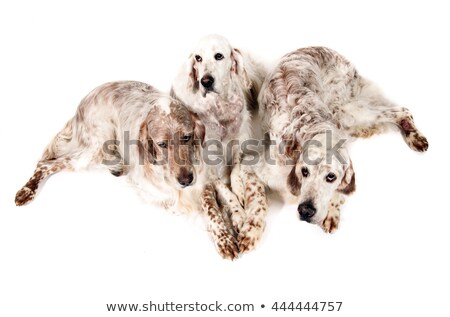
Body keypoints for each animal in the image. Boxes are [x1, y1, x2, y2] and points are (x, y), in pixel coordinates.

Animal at [171, 34, 266, 256]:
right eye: (198, 58)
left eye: (219, 56)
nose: (205, 81)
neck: (220, 106)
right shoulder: (207, 161)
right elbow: (223, 189)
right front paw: (238, 214)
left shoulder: (240, 136)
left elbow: (236, 168)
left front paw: (240, 189)